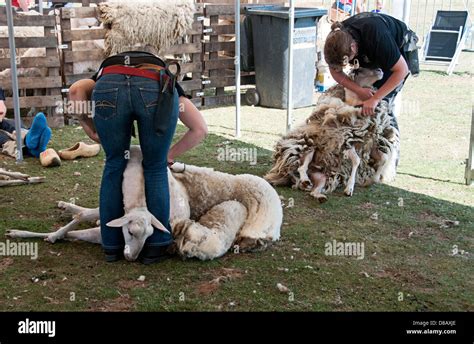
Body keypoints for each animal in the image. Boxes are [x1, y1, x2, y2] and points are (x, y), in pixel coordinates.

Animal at [6, 145, 282, 260]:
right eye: (130, 231)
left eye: (148, 237)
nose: (131, 258)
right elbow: (83, 219)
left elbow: (75, 229)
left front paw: (46, 235)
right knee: (87, 215)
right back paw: (66, 208)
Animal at [266, 67, 400, 202]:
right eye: (360, 70)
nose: (380, 69)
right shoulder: (345, 143)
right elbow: (356, 160)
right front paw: (349, 188)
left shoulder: (367, 144)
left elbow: (383, 159)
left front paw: (375, 178)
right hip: (310, 147)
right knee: (302, 167)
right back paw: (305, 179)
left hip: (322, 178)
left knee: (313, 190)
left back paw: (318, 194)